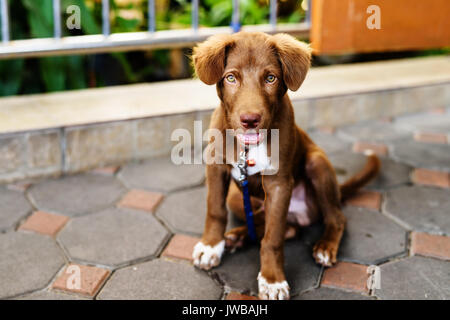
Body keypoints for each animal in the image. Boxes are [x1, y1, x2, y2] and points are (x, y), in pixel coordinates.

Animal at [190, 31, 380, 300]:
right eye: (231, 78)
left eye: (270, 78)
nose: (250, 120)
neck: (248, 146)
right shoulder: (216, 166)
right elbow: (215, 210)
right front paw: (210, 247)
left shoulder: (279, 185)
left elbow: (273, 237)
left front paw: (272, 280)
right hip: (237, 198)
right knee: (285, 227)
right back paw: (237, 236)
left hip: (317, 165)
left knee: (334, 217)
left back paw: (324, 246)